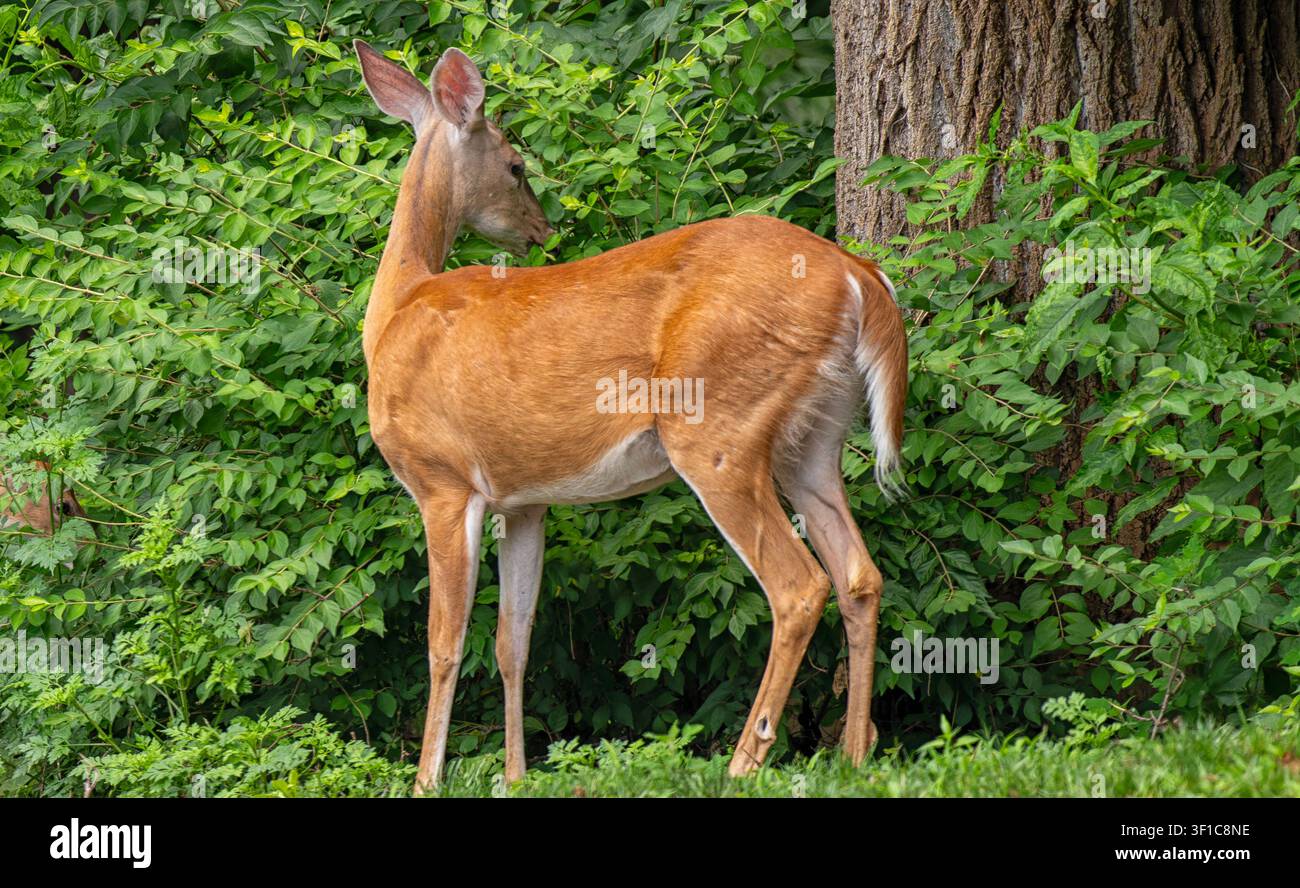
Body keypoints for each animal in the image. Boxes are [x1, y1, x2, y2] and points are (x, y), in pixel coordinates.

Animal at [354, 41, 908, 794]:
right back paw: (853, 756)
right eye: (517, 165)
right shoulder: (523, 500)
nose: (541, 229)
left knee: (799, 586)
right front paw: (517, 776)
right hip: (812, 438)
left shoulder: (443, 480)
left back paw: (744, 760)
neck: (398, 309)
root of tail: (860, 275)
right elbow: (512, 642)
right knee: (858, 575)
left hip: (717, 431)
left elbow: (446, 643)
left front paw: (426, 781)